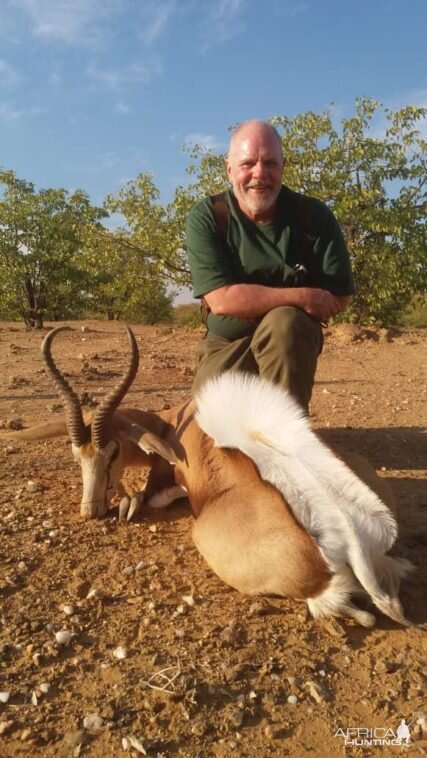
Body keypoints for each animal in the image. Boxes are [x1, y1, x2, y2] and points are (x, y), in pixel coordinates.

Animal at [1, 326, 412, 628]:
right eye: (77, 455)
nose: (91, 510)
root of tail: (350, 537)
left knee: (352, 612)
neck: (176, 421)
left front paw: (126, 504)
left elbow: (147, 496)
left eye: (113, 452)